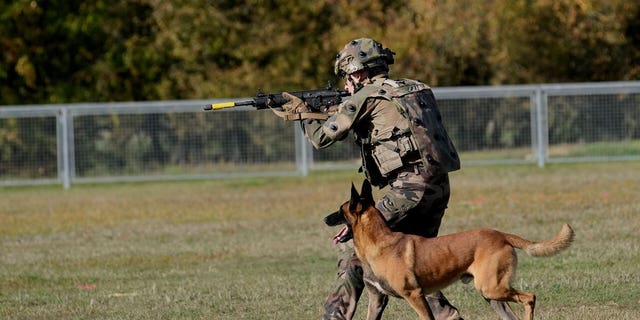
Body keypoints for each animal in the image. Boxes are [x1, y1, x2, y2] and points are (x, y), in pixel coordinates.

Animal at [324, 180, 576, 320]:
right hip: (491, 294)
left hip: (492, 288)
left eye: (339, 210)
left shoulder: (415, 295)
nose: (324, 218)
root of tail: (501, 234)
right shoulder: (377, 300)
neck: (379, 244)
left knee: (530, 297)